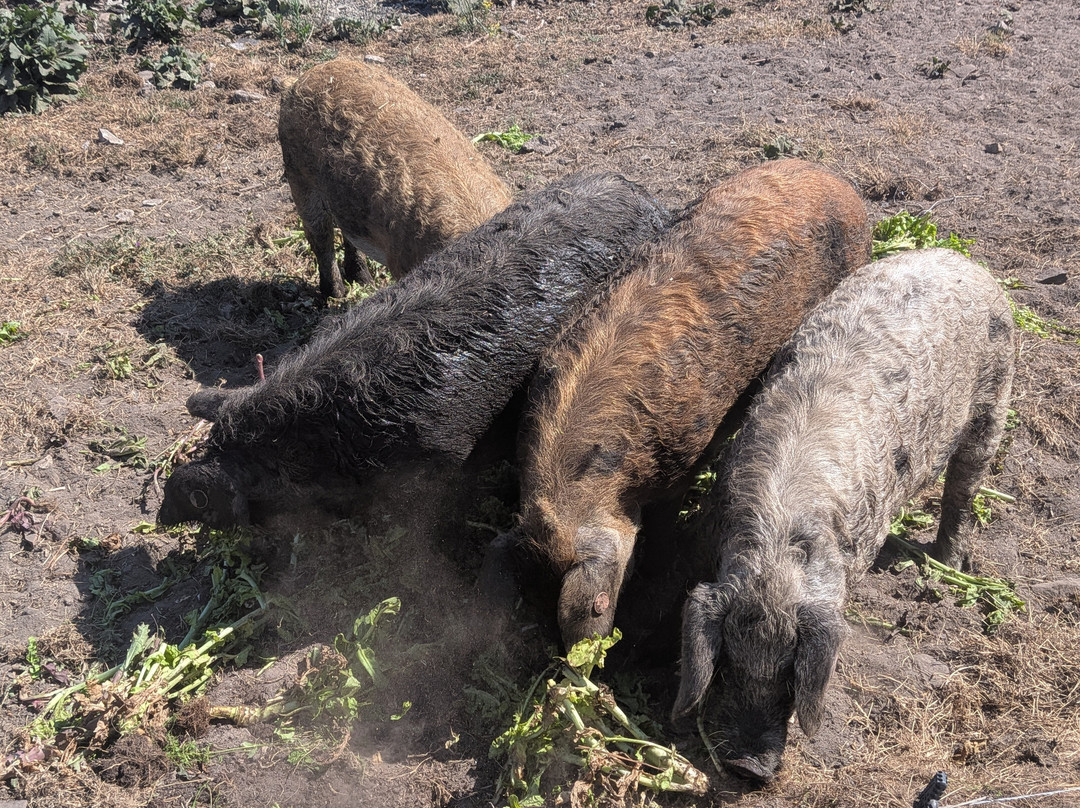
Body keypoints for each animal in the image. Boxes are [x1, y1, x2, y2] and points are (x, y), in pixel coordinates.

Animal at [673, 248, 1016, 782]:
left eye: (793, 675)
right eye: (727, 666)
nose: (749, 768)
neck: (779, 540)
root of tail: (963, 260)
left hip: (994, 398)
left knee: (963, 489)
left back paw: (945, 567)